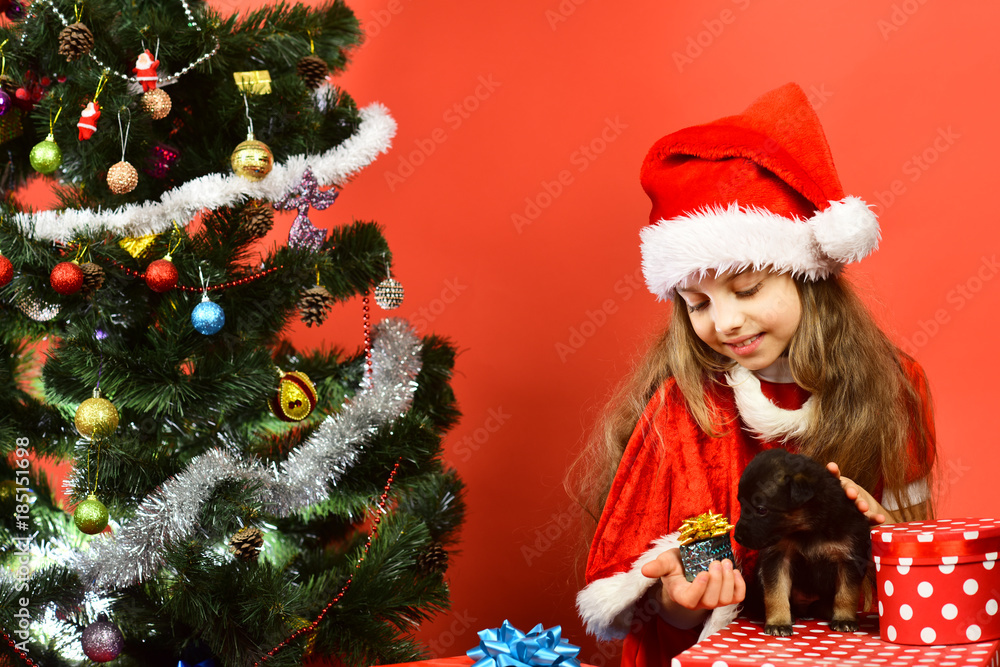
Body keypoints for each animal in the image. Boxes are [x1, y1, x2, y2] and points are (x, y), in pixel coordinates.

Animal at [732, 448, 872, 636]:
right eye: (741, 504)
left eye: (761, 510)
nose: (737, 537)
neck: (809, 530)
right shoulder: (778, 559)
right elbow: (776, 593)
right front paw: (779, 622)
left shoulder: (849, 559)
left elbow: (846, 594)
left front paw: (845, 619)